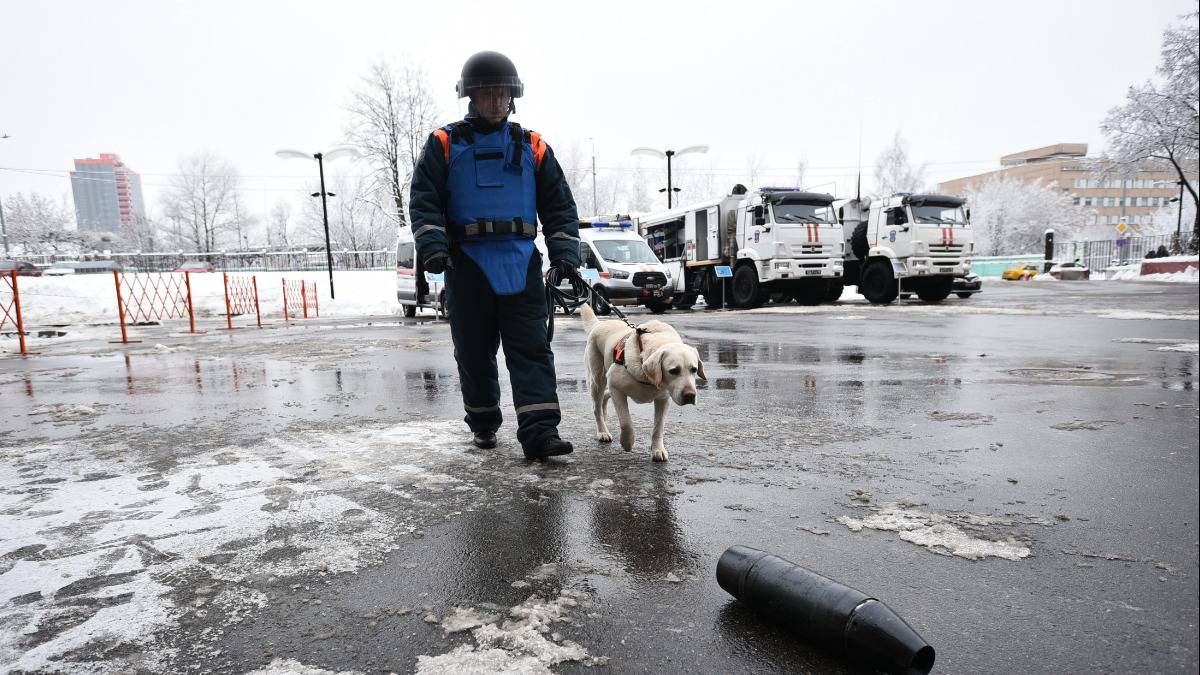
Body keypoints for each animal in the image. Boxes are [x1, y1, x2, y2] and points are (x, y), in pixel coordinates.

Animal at [578, 302, 700, 458]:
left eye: (694, 369)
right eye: (673, 371)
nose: (690, 396)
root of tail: (599, 324)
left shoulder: (663, 399)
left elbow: (658, 427)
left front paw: (658, 449)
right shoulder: (616, 387)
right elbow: (626, 422)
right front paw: (627, 442)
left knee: (604, 397)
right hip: (597, 379)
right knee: (596, 407)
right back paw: (602, 431)